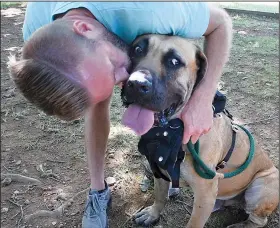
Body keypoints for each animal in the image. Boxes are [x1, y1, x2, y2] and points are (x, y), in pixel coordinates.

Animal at [121, 34, 278, 228]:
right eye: (137, 49)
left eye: (174, 62)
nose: (135, 84)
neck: (175, 133)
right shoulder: (159, 170)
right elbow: (159, 196)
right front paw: (152, 214)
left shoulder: (205, 193)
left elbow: (193, 223)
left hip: (261, 185)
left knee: (259, 220)